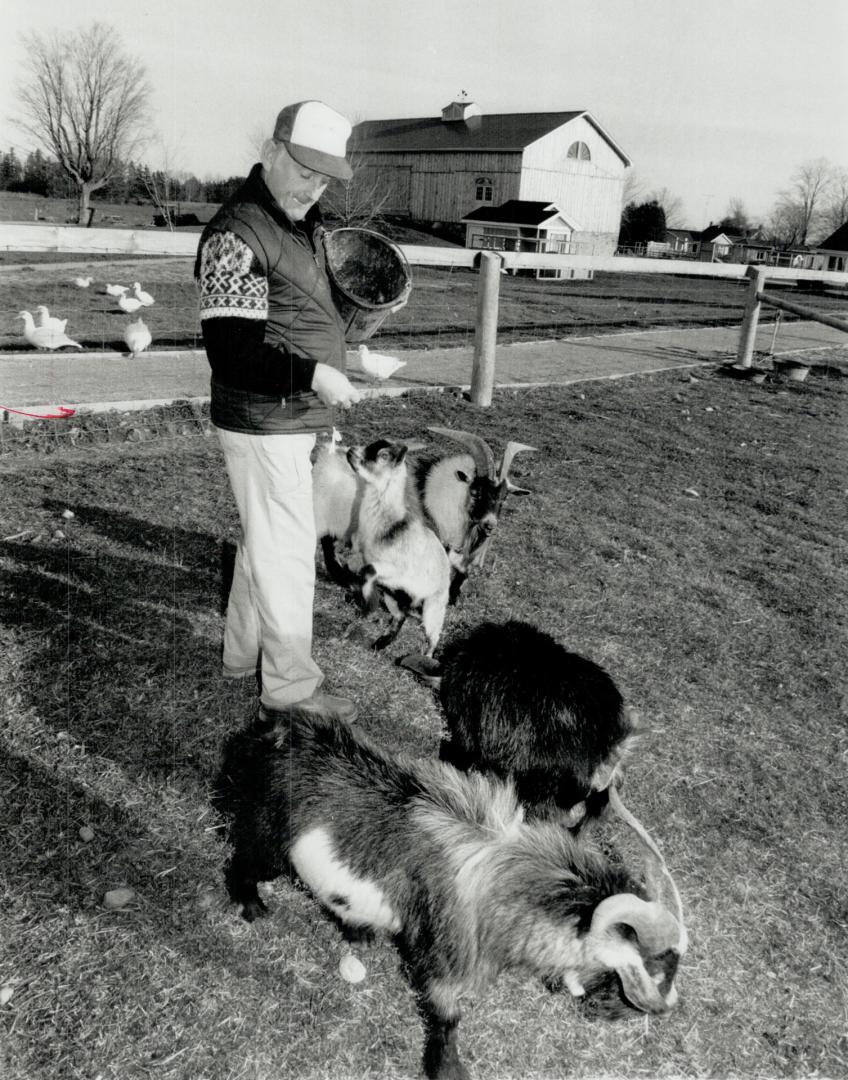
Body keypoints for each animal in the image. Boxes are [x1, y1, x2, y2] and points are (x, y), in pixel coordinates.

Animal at [213, 708, 687, 1080]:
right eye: (645, 967)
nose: (637, 1014)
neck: (509, 878)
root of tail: (273, 731)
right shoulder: (443, 953)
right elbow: (447, 1013)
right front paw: (448, 1069)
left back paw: (357, 931)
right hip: (268, 833)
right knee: (244, 859)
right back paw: (252, 906)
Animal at [341, 438, 453, 656]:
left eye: (383, 455)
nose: (351, 450)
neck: (389, 526)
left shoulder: (393, 570)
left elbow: (368, 571)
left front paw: (366, 604)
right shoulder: (366, 557)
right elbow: (358, 567)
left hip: (433, 607)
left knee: (432, 638)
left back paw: (425, 658)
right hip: (392, 595)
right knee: (400, 616)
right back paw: (380, 643)